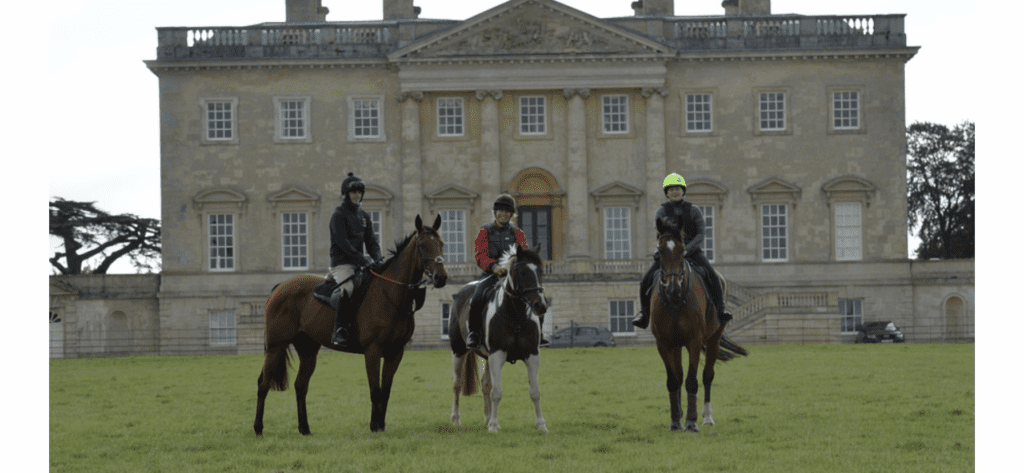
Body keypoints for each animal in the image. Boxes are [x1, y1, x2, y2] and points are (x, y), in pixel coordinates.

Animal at [251, 213, 444, 436]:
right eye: (422, 245)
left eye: (442, 244)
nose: (441, 277)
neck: (390, 294)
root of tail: (279, 287)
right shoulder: (372, 351)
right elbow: (375, 390)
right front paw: (375, 426)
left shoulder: (395, 352)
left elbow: (385, 391)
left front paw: (381, 425)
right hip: (276, 347)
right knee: (263, 384)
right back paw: (258, 428)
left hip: (308, 351)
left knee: (300, 386)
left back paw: (304, 428)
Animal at [444, 245, 548, 434]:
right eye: (522, 272)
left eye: (540, 271)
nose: (540, 305)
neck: (515, 315)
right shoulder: (497, 355)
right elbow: (497, 392)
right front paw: (493, 427)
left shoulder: (532, 356)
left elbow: (535, 392)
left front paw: (541, 425)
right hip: (458, 351)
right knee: (457, 384)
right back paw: (456, 418)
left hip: (486, 357)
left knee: (486, 384)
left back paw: (487, 418)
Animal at [651, 216, 749, 430]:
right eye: (660, 251)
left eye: (682, 250)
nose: (673, 289)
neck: (675, 302)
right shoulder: (664, 343)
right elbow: (673, 380)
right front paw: (676, 420)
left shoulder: (694, 341)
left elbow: (692, 381)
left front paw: (691, 422)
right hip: (677, 344)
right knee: (680, 376)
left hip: (714, 339)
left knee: (707, 375)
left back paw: (707, 417)